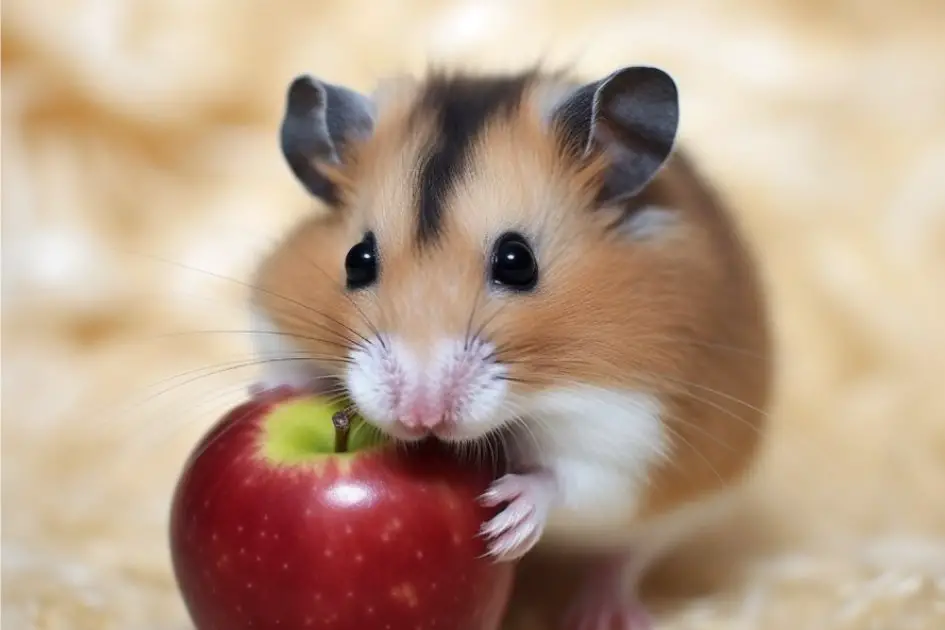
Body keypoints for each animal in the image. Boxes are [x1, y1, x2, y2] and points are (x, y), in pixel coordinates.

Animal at [247, 65, 772, 630]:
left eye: (517, 261)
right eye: (356, 259)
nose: (419, 417)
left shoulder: (630, 432)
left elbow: (571, 479)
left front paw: (507, 520)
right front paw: (268, 388)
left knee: (625, 558)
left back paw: (600, 614)